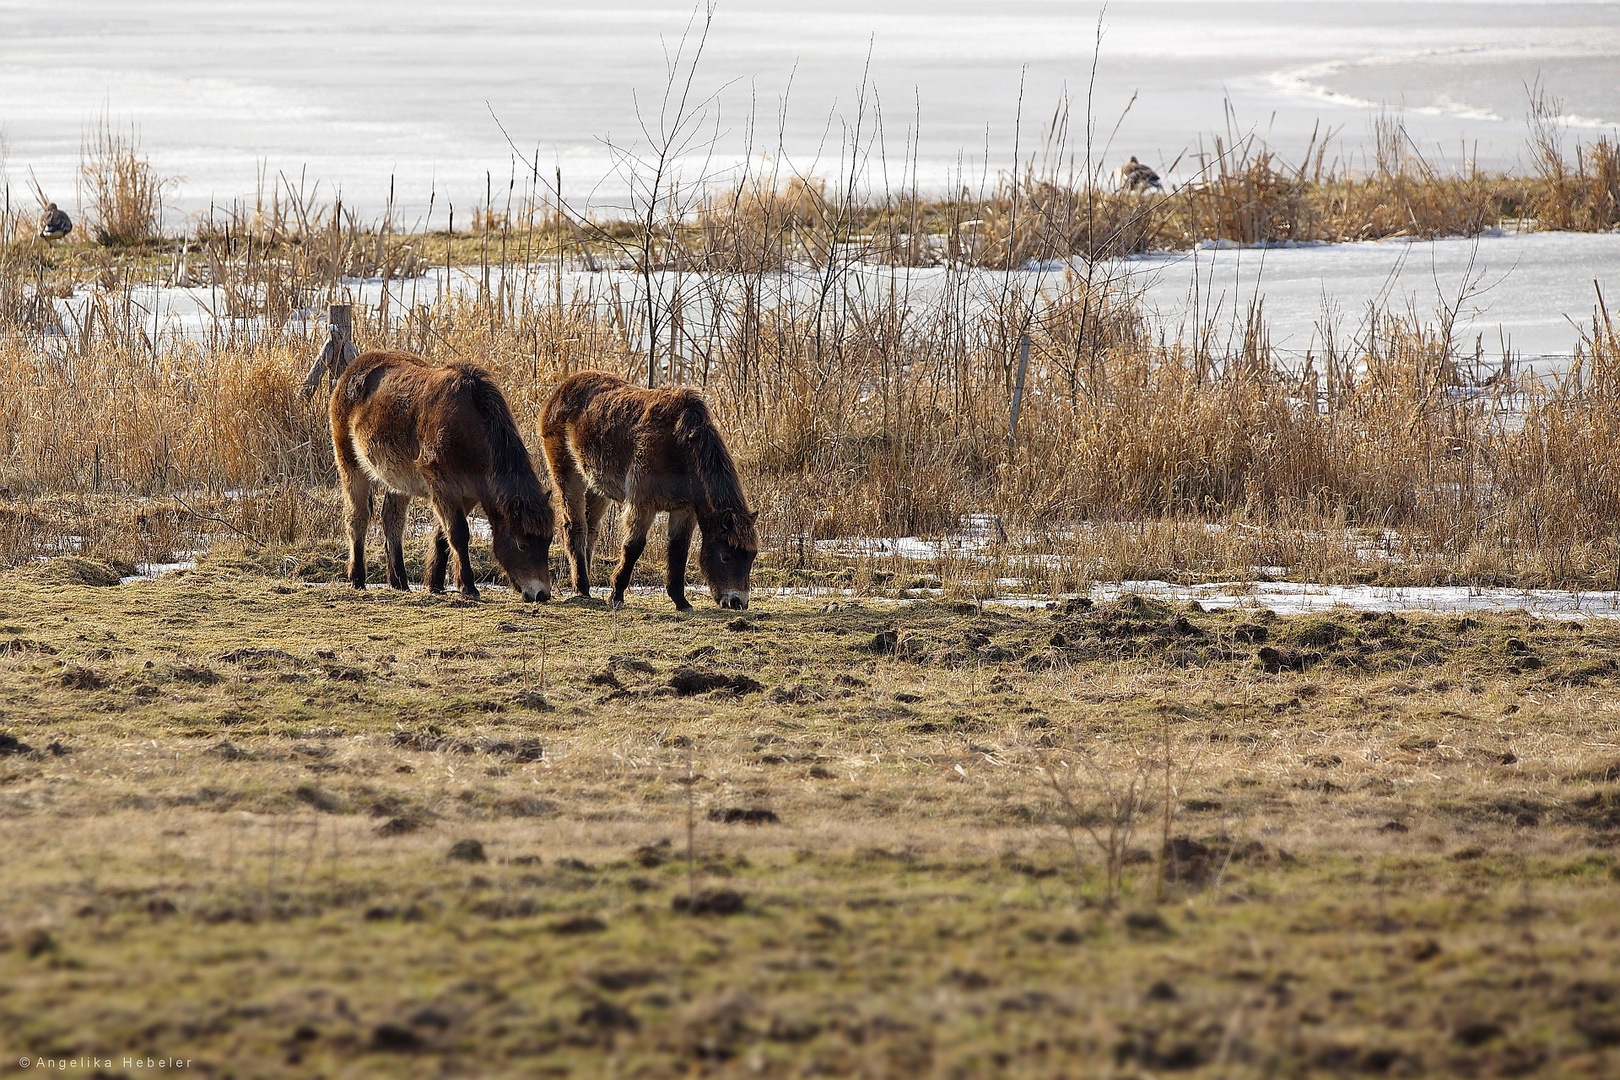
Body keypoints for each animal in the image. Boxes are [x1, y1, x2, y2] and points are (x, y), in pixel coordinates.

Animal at [330, 351, 557, 599]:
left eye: (548, 541)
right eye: (522, 544)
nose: (542, 594)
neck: (469, 429)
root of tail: (350, 372)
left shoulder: (468, 494)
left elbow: (443, 536)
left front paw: (436, 584)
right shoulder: (444, 487)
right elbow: (458, 534)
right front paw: (468, 587)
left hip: (398, 482)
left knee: (392, 522)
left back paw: (400, 582)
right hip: (351, 466)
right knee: (357, 518)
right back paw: (357, 579)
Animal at [537, 369, 751, 608]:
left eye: (751, 556)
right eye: (726, 556)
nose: (738, 602)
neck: (679, 445)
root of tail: (561, 391)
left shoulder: (683, 509)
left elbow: (679, 551)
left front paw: (681, 601)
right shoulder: (642, 504)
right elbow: (633, 547)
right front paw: (616, 595)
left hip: (596, 487)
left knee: (590, 531)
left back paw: (584, 585)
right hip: (568, 477)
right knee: (575, 528)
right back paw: (583, 588)